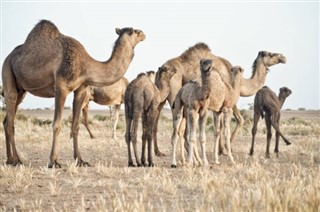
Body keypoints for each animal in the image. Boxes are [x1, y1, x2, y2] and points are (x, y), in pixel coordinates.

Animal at [1, 19, 145, 167]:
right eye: (136, 31)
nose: (144, 34)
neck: (86, 65)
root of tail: (9, 56)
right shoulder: (61, 87)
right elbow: (57, 124)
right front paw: (53, 161)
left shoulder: (81, 89)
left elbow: (76, 125)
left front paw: (80, 160)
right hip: (7, 71)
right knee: (10, 119)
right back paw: (17, 160)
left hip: (21, 91)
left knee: (7, 121)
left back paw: (10, 159)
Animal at [154, 43, 286, 156]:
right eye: (270, 54)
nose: (283, 57)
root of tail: (161, 69)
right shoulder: (227, 97)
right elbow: (234, 121)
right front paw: (225, 149)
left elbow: (229, 122)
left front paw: (223, 149)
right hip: (175, 95)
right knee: (178, 124)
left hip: (163, 98)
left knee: (157, 120)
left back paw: (159, 152)